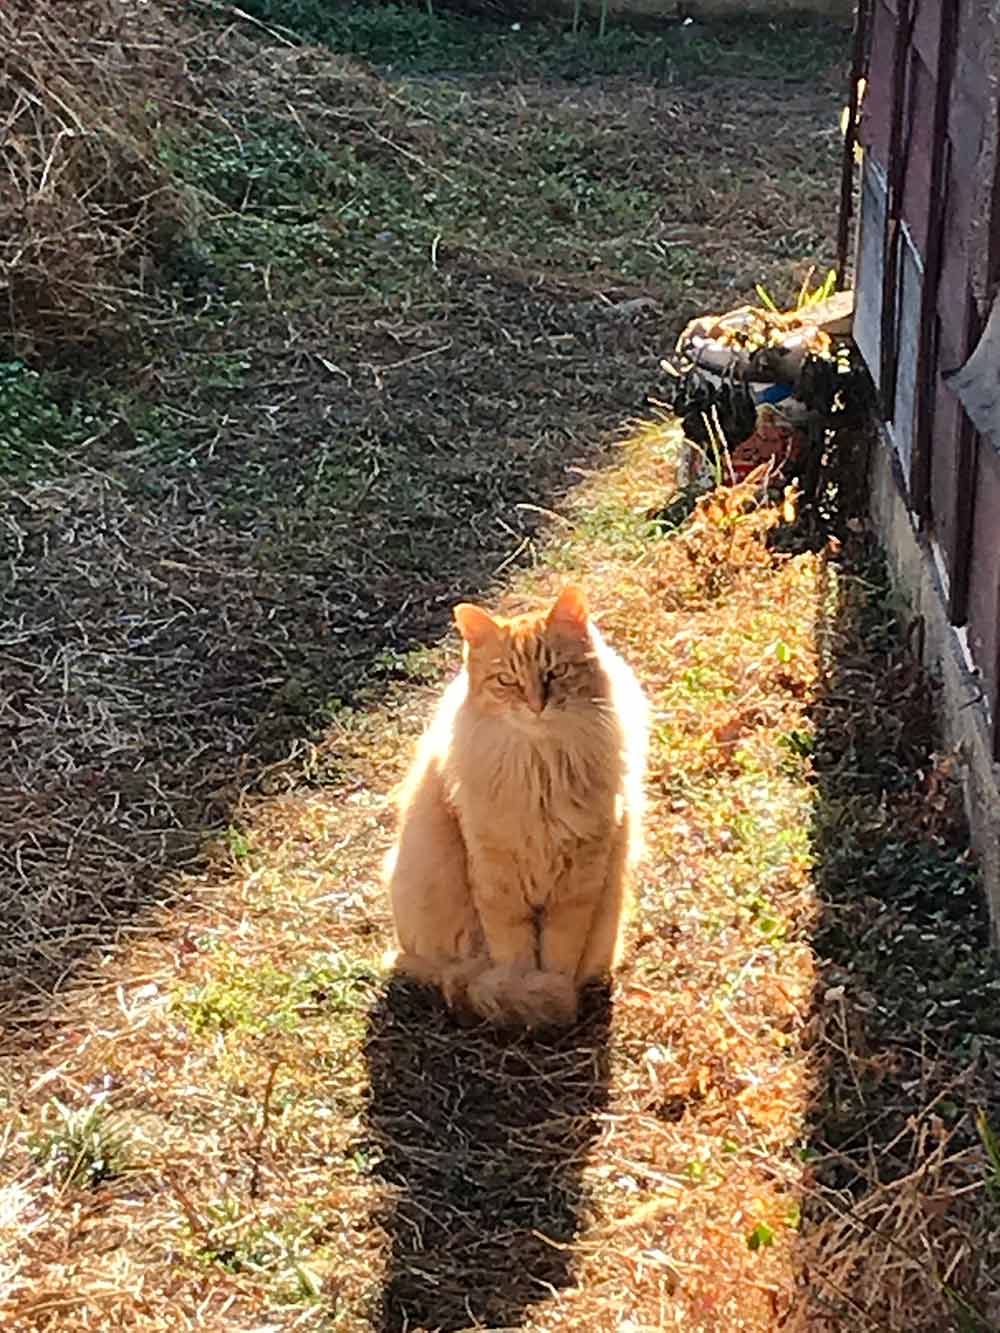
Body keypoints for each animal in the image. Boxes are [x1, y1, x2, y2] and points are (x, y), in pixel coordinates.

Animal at [384, 586, 650, 1029]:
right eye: (507, 680)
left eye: (555, 673)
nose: (536, 705)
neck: (541, 771)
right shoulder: (498, 878)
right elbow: (517, 955)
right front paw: (529, 994)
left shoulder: (580, 879)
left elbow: (560, 954)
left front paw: (554, 995)